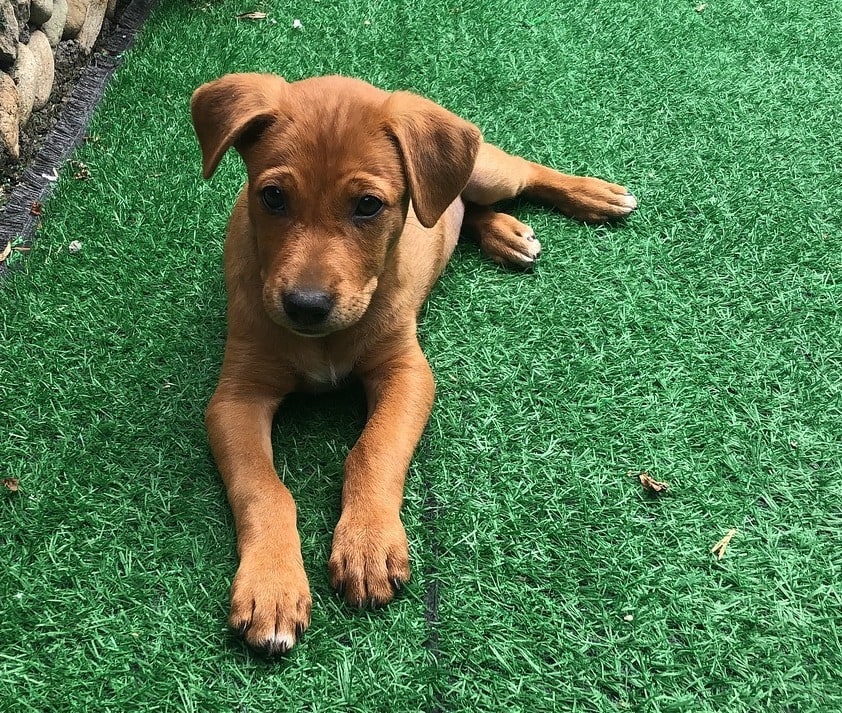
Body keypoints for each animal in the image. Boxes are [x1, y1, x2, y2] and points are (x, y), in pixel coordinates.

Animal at [192, 75, 636, 652]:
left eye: (367, 205)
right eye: (271, 197)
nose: (305, 306)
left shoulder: (406, 373)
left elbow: (373, 451)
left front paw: (367, 545)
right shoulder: (235, 398)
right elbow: (263, 488)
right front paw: (271, 586)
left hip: (489, 171)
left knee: (519, 173)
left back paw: (594, 194)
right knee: (459, 206)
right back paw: (505, 234)